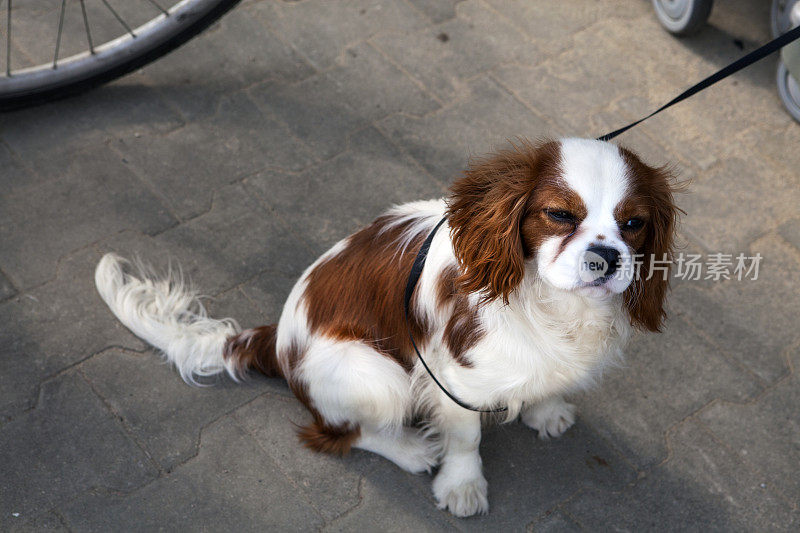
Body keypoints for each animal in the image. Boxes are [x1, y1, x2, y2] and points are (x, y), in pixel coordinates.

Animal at [97, 136, 680, 516]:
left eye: (634, 224)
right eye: (560, 214)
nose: (608, 256)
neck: (551, 301)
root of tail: (275, 341)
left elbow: (543, 379)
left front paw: (546, 408)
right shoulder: (456, 378)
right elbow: (466, 436)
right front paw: (462, 486)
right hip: (375, 372)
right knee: (336, 434)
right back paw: (410, 450)